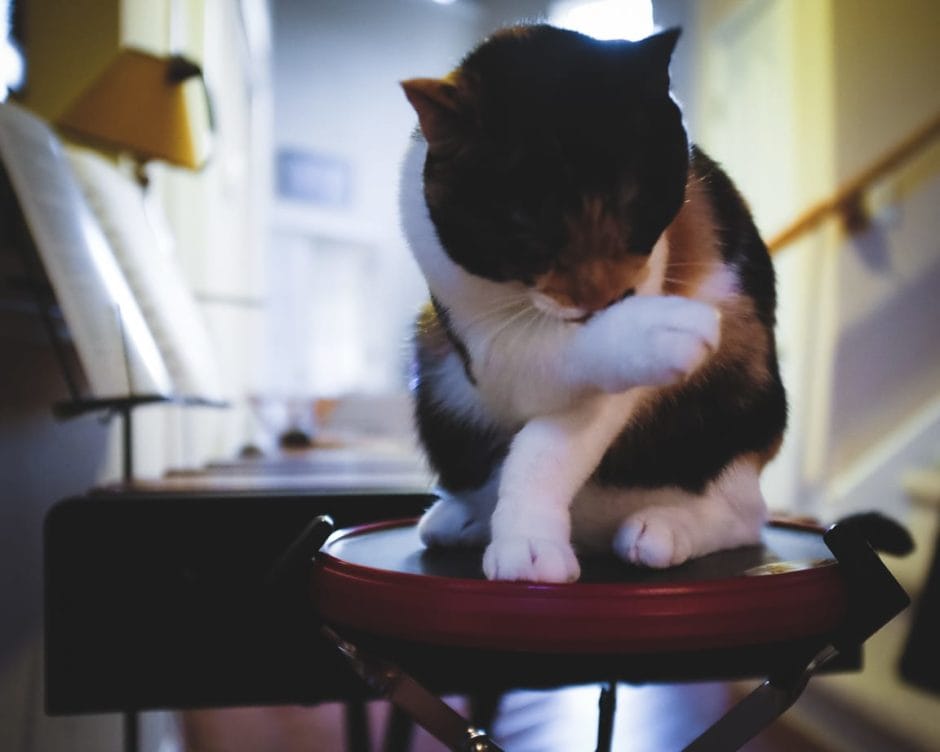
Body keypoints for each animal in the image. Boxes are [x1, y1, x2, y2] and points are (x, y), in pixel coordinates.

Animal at [396, 25, 784, 580]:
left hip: (739, 396)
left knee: (747, 514)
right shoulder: (478, 336)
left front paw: (527, 540)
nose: (606, 297)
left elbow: (549, 445)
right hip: (433, 363)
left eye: (633, 203)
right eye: (525, 226)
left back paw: (665, 527)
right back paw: (463, 517)